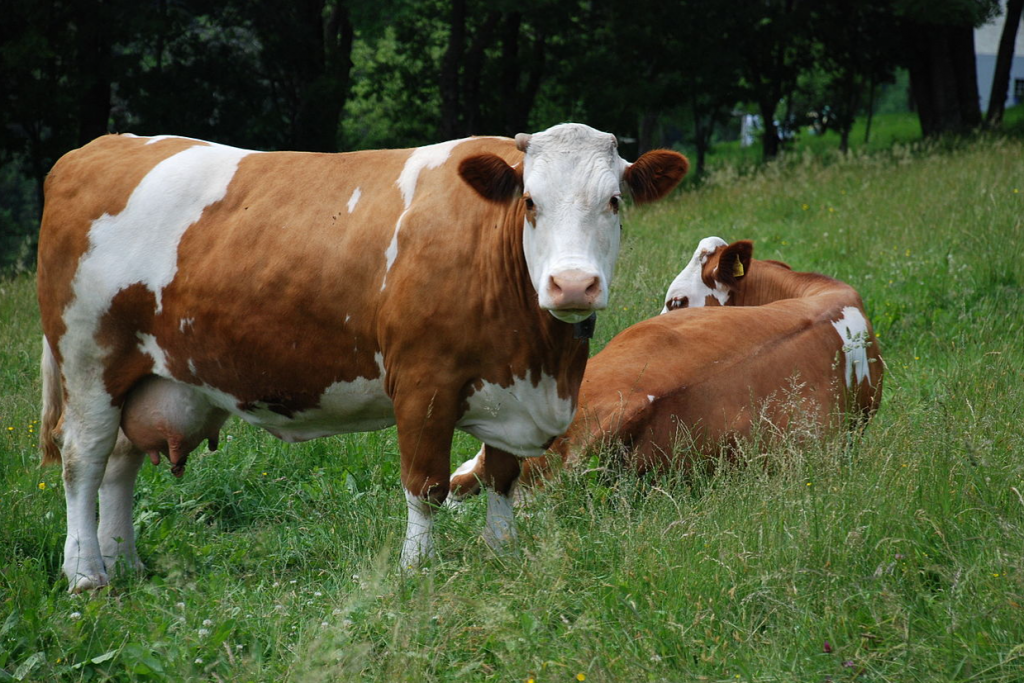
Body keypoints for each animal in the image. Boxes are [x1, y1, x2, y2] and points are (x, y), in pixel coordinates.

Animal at [37, 124, 688, 593]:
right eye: (530, 201)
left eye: (614, 202)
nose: (573, 285)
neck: (542, 359)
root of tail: (98, 146)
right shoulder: (424, 383)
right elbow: (425, 485)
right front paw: (416, 570)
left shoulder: (511, 392)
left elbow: (503, 476)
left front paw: (503, 552)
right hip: (88, 359)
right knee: (83, 460)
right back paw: (86, 574)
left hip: (143, 375)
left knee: (120, 463)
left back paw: (124, 564)